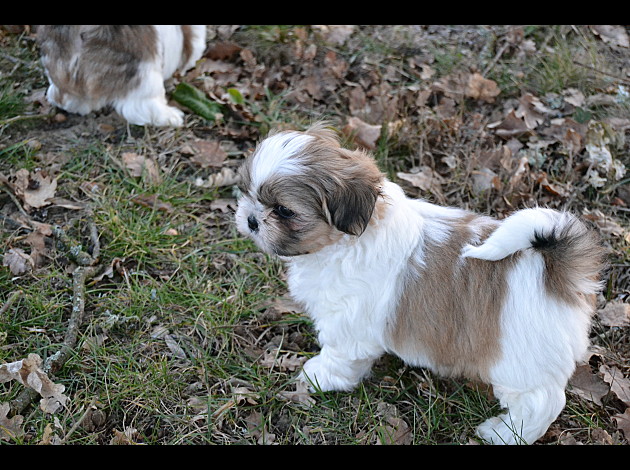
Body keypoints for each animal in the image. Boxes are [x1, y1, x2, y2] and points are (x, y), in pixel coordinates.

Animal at [235, 122, 606, 444]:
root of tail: (559, 269)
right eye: (247, 191)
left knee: (541, 402)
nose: (251, 219)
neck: (351, 237)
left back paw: (503, 433)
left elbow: (340, 354)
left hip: (520, 363)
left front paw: (318, 376)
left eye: (284, 211)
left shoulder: (347, 322)